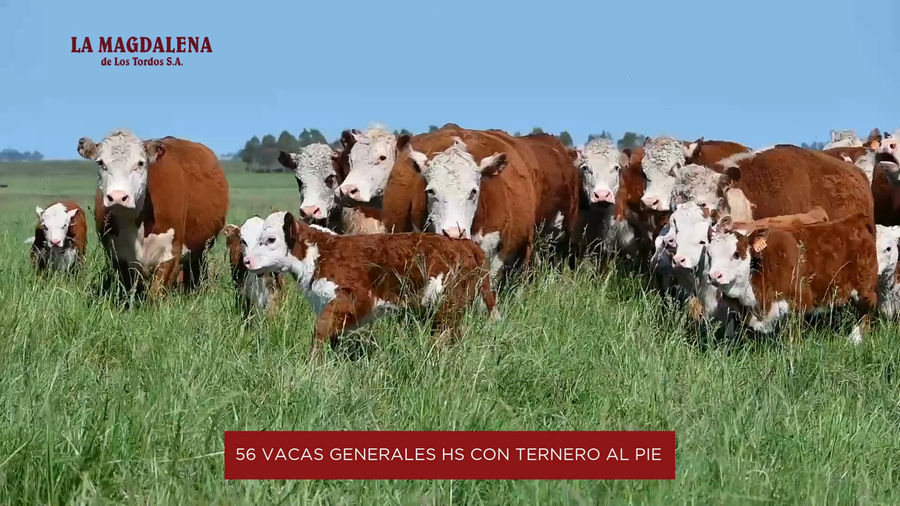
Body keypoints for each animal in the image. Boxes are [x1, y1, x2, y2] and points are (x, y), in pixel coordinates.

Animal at [76, 129, 229, 297]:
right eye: (100, 163)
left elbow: (156, 293)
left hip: (200, 250)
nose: (117, 197)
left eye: (140, 163)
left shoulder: (171, 252)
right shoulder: (118, 256)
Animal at [241, 211, 500, 360]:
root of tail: (464, 244)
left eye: (270, 239)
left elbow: (320, 330)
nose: (247, 261)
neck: (322, 254)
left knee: (445, 335)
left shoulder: (352, 297)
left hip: (448, 305)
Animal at [706, 212, 877, 344]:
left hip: (864, 286)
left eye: (736, 254)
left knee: (866, 307)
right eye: (709, 254)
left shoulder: (799, 303)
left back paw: (856, 338)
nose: (714, 275)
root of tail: (856, 219)